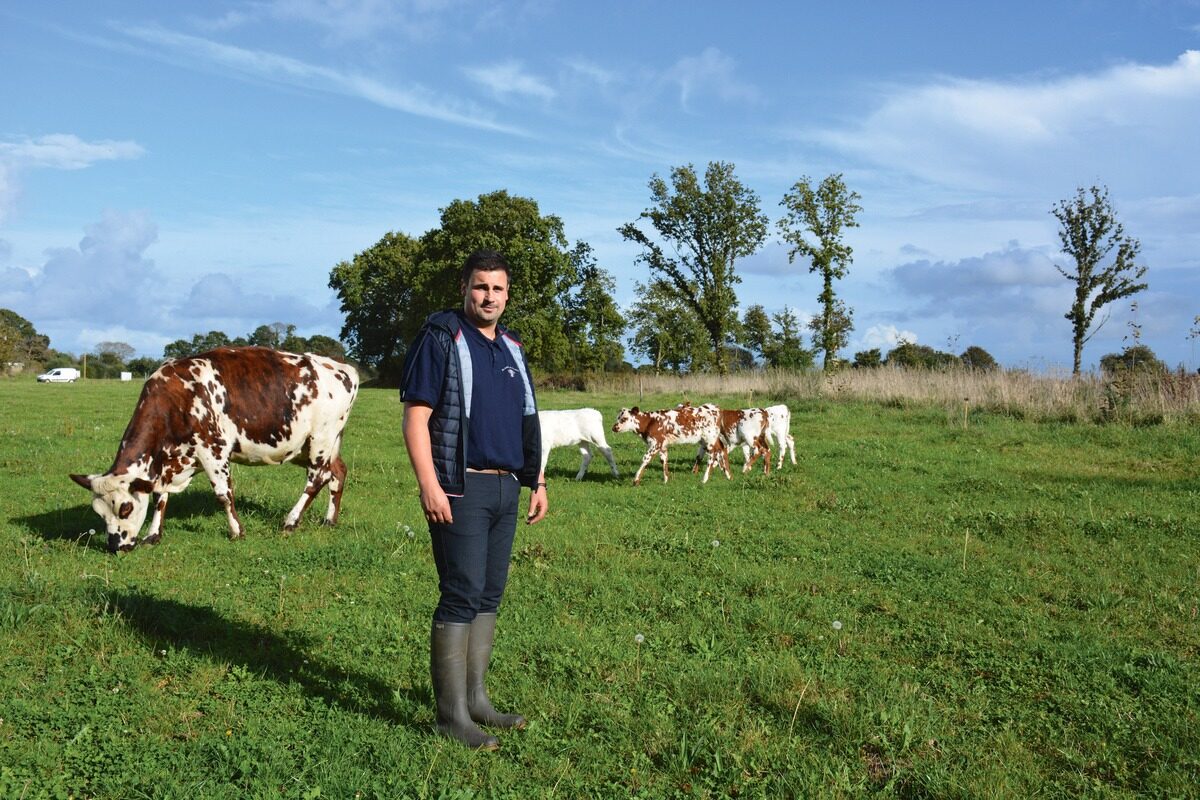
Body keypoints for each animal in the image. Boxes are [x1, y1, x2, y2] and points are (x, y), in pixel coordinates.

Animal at [70, 347, 357, 554]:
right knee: (338, 472)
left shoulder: (214, 449)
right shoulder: (168, 463)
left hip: (321, 438)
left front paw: (237, 531)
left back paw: (291, 521)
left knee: (318, 478)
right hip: (312, 446)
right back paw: (329, 520)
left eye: (125, 508)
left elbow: (223, 494)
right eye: (99, 512)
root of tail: (340, 366)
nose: (115, 546)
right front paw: (152, 535)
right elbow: (160, 496)